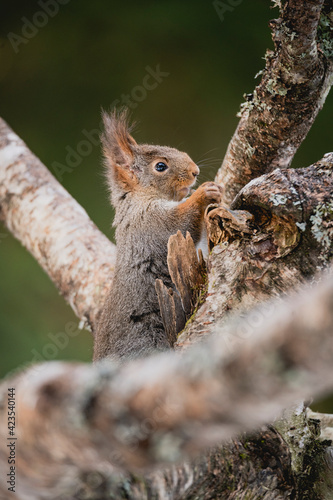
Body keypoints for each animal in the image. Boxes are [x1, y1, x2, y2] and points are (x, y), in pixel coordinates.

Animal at [92, 109, 223, 362]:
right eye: (160, 166)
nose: (195, 171)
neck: (138, 197)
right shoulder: (150, 222)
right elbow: (179, 223)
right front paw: (204, 193)